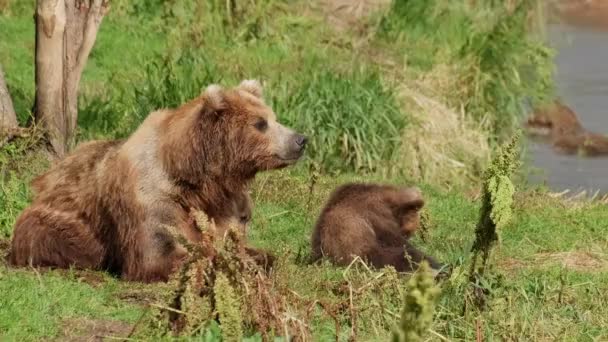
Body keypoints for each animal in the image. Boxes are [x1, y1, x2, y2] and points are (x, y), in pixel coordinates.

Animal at [7, 80, 306, 284]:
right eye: (260, 123)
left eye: (274, 117)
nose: (301, 139)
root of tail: (49, 175)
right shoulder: (153, 198)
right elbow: (161, 254)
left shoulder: (228, 205)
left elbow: (238, 242)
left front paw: (256, 258)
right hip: (58, 219)